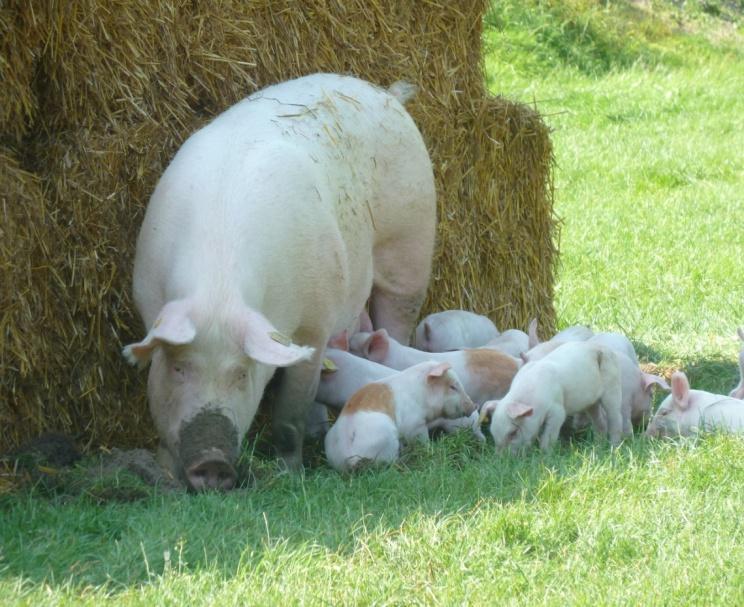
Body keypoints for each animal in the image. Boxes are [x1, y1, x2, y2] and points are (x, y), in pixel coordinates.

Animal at [122, 73, 436, 492]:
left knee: (396, 318)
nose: (212, 461)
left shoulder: (312, 324)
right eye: (179, 368)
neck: (219, 288)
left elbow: (290, 413)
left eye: (241, 373)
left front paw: (290, 473)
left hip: (410, 247)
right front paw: (166, 476)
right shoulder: (148, 298)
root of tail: (388, 95)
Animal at [326, 364, 476, 472]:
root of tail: (349, 456)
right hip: (386, 438)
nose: (474, 406)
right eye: (453, 386)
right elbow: (422, 440)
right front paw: (429, 449)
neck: (421, 395)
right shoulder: (415, 425)